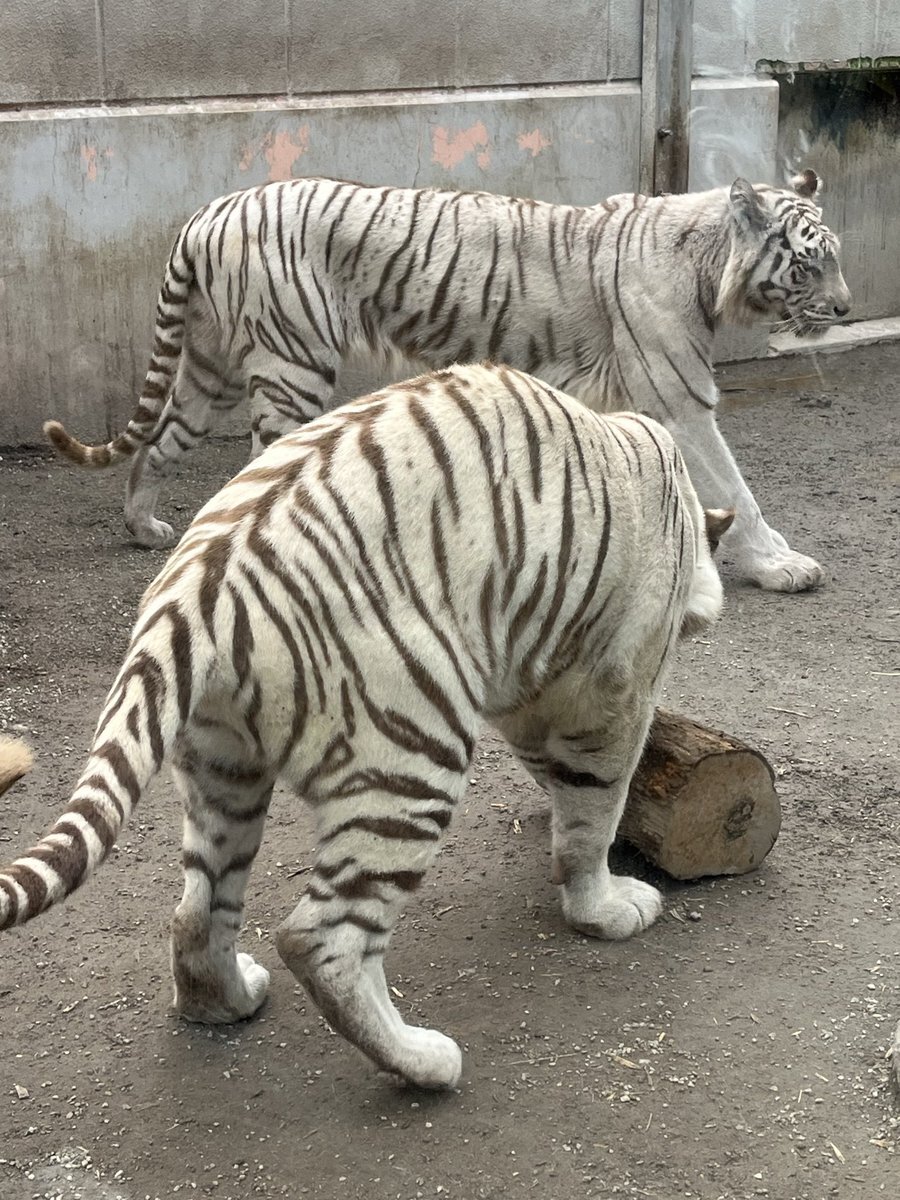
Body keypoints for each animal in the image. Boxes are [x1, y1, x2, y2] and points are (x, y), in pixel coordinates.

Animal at [2, 363, 733, 1089]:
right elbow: (594, 809)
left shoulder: (528, 698)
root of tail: (193, 592)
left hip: (223, 770)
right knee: (322, 939)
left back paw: (228, 1002)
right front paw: (604, 908)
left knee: (196, 909)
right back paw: (425, 1061)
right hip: (413, 754)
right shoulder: (607, 690)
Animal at [44, 169, 849, 593]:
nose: (845, 308)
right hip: (292, 366)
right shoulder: (681, 399)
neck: (711, 264)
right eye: (809, 264)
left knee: (157, 447)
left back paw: (145, 528)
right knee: (260, 471)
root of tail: (213, 207)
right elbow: (734, 486)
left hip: (208, 368)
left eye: (835, 259)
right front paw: (780, 565)